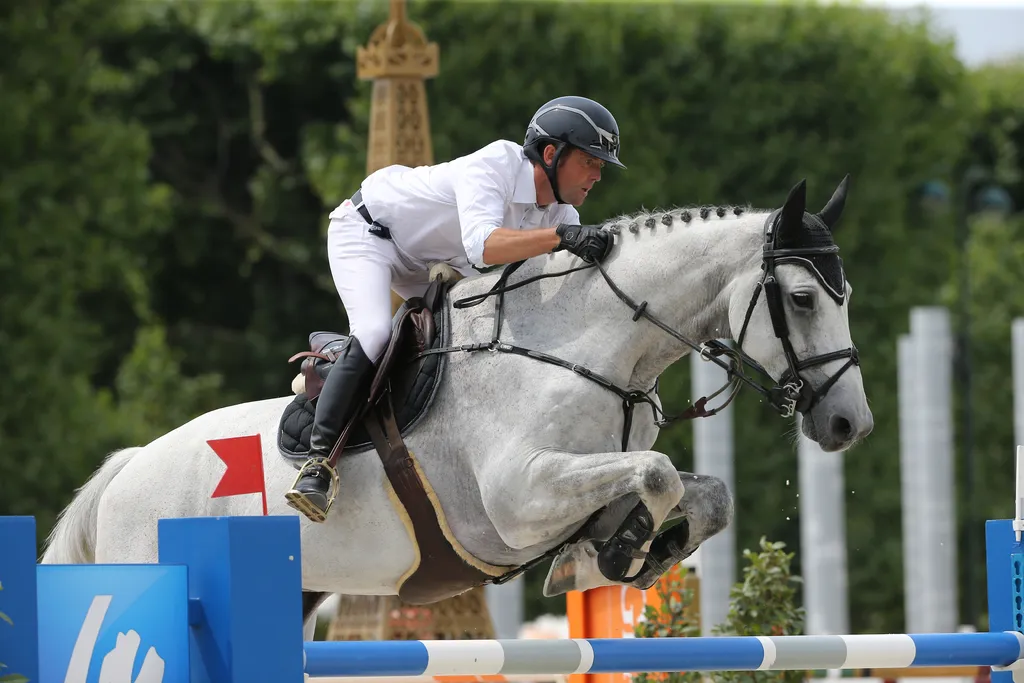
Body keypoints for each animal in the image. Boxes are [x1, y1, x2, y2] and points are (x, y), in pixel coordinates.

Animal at [40, 176, 872, 641]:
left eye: (845, 296)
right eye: (803, 299)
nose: (849, 424)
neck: (590, 346)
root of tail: (123, 472)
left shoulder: (588, 473)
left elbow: (702, 491)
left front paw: (632, 551)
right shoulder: (516, 499)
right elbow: (661, 474)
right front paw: (609, 554)